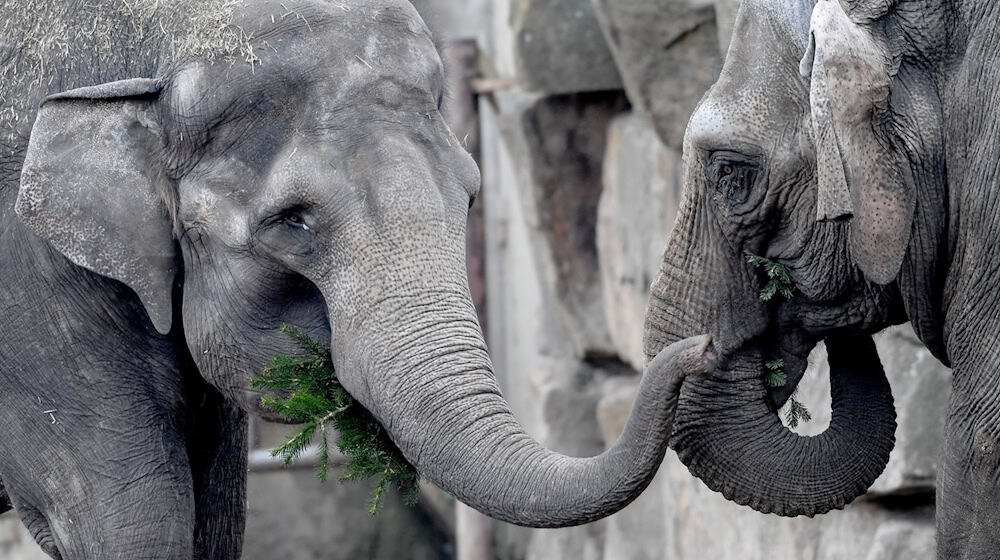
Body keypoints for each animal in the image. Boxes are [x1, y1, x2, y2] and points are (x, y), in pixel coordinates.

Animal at [0, 1, 724, 556]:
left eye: (470, 196)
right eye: (293, 221)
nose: (704, 345)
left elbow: (217, 512)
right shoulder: (33, 294)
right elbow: (135, 518)